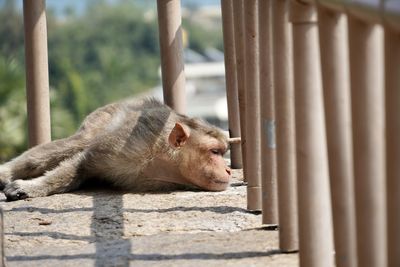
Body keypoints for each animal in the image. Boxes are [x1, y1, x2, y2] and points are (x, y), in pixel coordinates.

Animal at [0, 98, 231, 201]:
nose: (228, 170)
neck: (162, 160)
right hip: (102, 117)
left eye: (223, 153)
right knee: (79, 142)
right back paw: (5, 173)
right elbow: (84, 162)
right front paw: (30, 187)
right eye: (215, 152)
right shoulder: (129, 145)